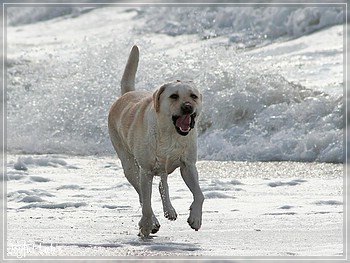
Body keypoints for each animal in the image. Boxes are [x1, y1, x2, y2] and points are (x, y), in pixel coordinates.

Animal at [108, 46, 204, 238]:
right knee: (142, 194)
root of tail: (126, 94)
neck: (170, 134)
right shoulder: (145, 171)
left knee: (162, 184)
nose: (188, 107)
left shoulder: (188, 166)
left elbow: (199, 194)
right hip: (129, 165)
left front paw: (196, 218)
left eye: (193, 96)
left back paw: (169, 211)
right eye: (174, 96)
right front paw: (146, 225)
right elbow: (146, 203)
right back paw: (153, 221)